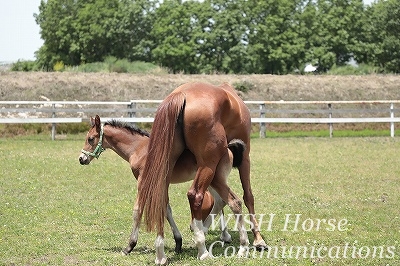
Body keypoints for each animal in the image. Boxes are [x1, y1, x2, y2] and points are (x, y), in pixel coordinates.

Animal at [79, 115, 239, 252]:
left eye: (91, 139)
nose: (81, 159)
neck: (139, 148)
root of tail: (226, 149)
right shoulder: (161, 184)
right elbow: (166, 209)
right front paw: (178, 242)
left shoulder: (143, 182)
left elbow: (138, 210)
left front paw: (130, 246)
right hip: (209, 182)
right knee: (220, 201)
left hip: (213, 180)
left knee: (227, 201)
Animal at [137, 82, 266, 264]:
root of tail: (180, 95)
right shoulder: (245, 157)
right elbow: (248, 196)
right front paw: (258, 239)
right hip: (208, 165)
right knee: (195, 195)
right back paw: (203, 250)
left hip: (168, 164)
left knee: (160, 197)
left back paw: (161, 253)